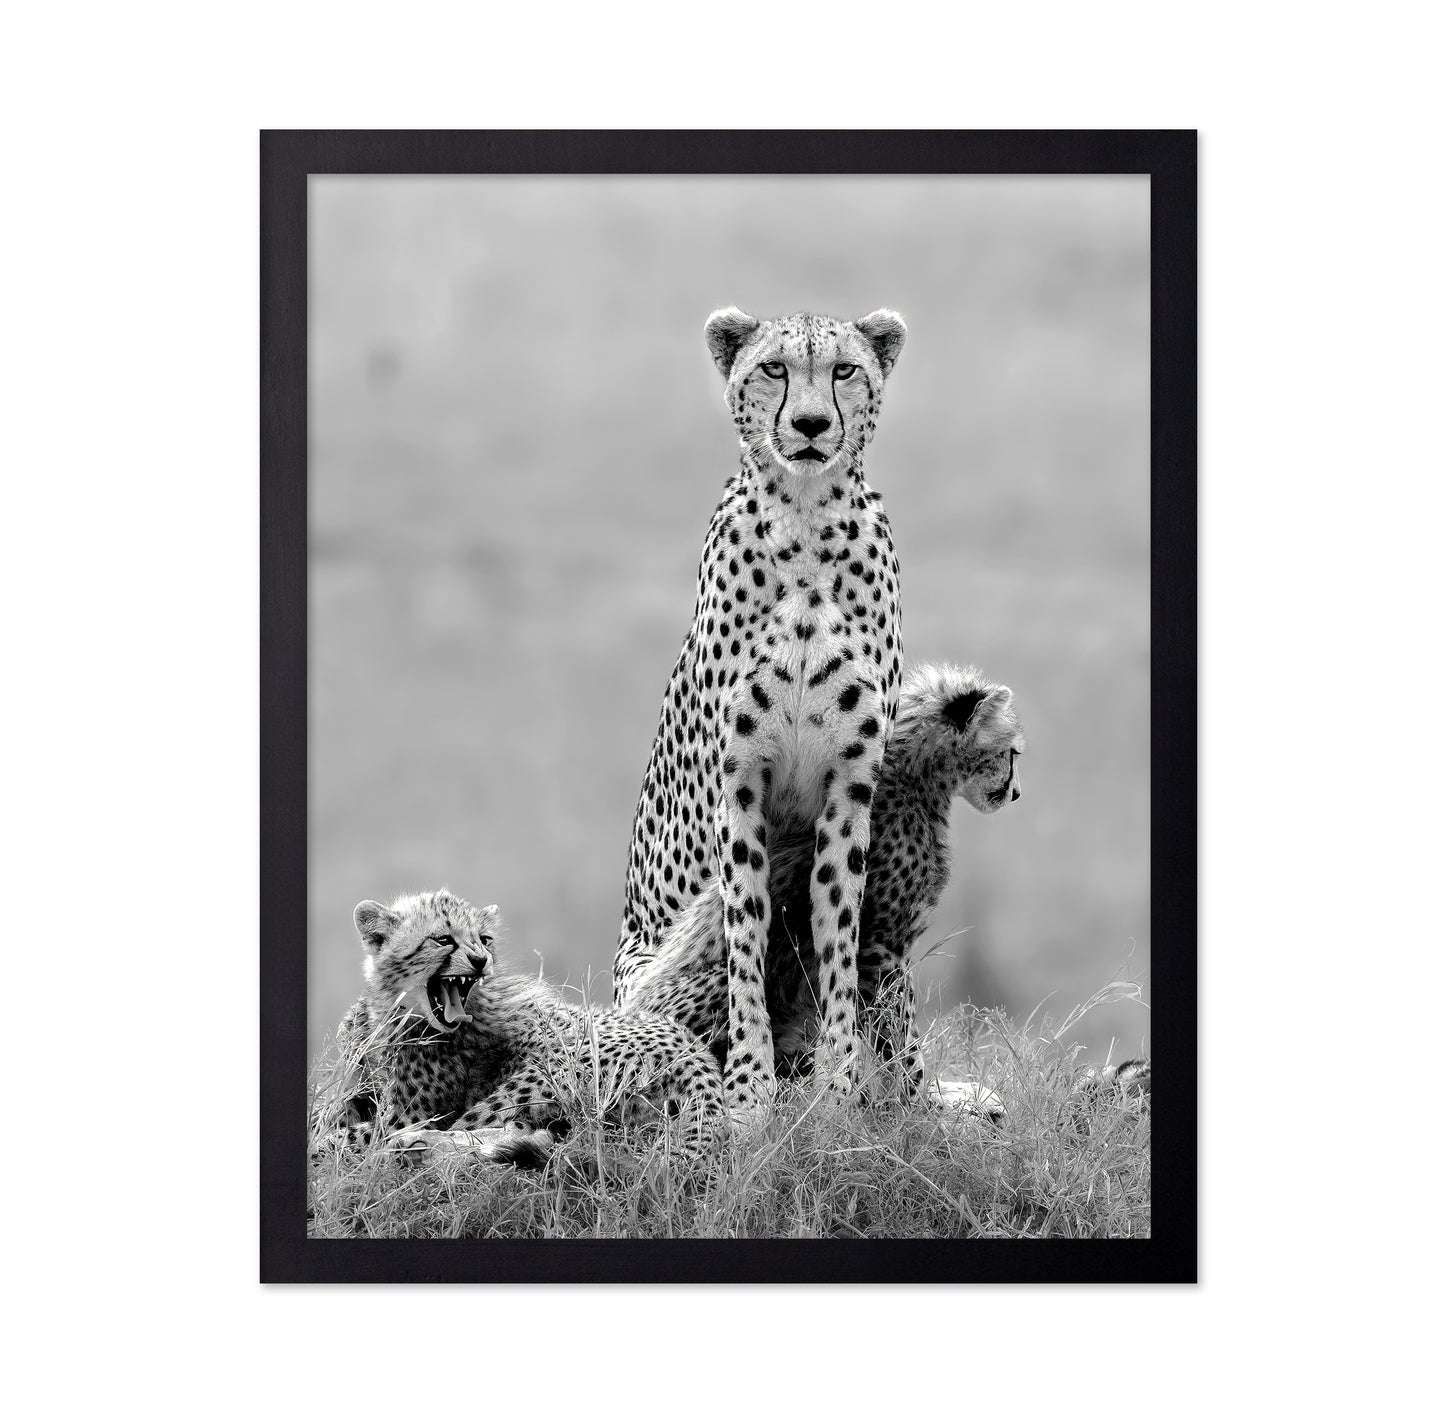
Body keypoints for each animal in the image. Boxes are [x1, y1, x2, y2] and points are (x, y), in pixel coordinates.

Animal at [310, 889, 724, 1169]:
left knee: (492, 1127)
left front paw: (328, 1146)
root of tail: (695, 1051)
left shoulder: (406, 1114)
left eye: (484, 939)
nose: (480, 960)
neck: (393, 1012)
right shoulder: (357, 1092)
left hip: (540, 1074)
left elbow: (348, 1135)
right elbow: (327, 1114)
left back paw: (420, 1147)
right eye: (443, 939)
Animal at [615, 306, 909, 1114]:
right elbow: (743, 935)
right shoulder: (739, 783)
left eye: (844, 370)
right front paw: (750, 1086)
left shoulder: (850, 787)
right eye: (773, 368)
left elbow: (836, 930)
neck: (806, 527)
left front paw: (838, 1084)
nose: (809, 424)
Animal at [624, 660, 1024, 1117]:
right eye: (1012, 753)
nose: (1017, 793)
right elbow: (901, 1042)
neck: (915, 778)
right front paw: (924, 1107)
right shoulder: (880, 951)